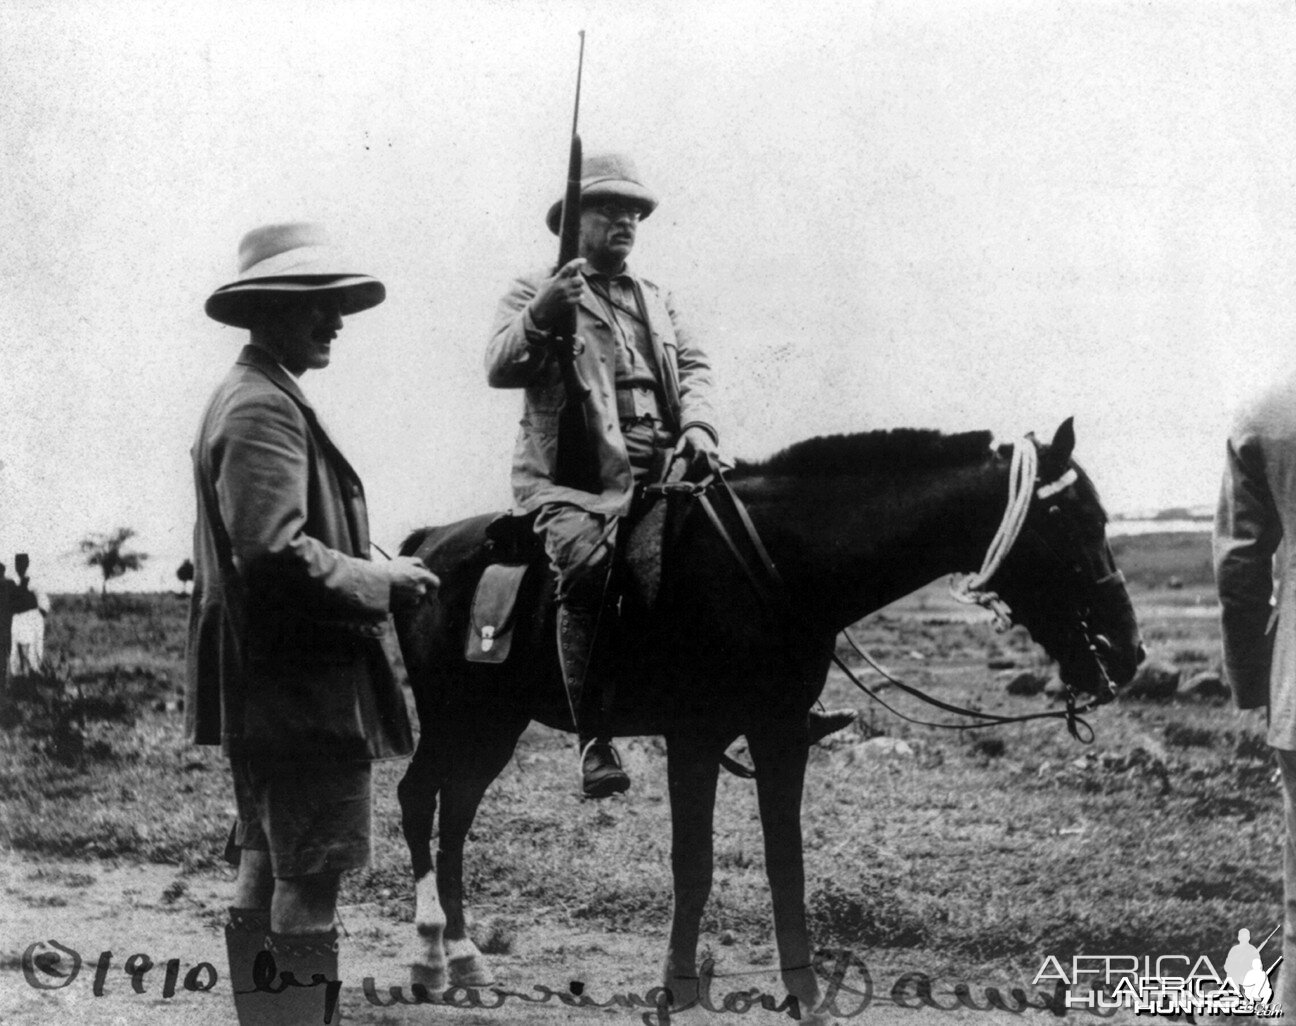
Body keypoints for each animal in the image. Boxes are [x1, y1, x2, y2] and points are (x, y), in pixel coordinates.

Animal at [393, 419, 1145, 1015]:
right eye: (1074, 522)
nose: (1126, 650)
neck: (777, 564)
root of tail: (425, 544)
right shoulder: (695, 739)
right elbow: (693, 864)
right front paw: (678, 987)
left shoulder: (781, 735)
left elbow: (788, 863)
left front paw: (806, 993)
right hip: (453, 717)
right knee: (418, 797)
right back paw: (429, 959)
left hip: (494, 725)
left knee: (454, 814)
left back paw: (465, 958)